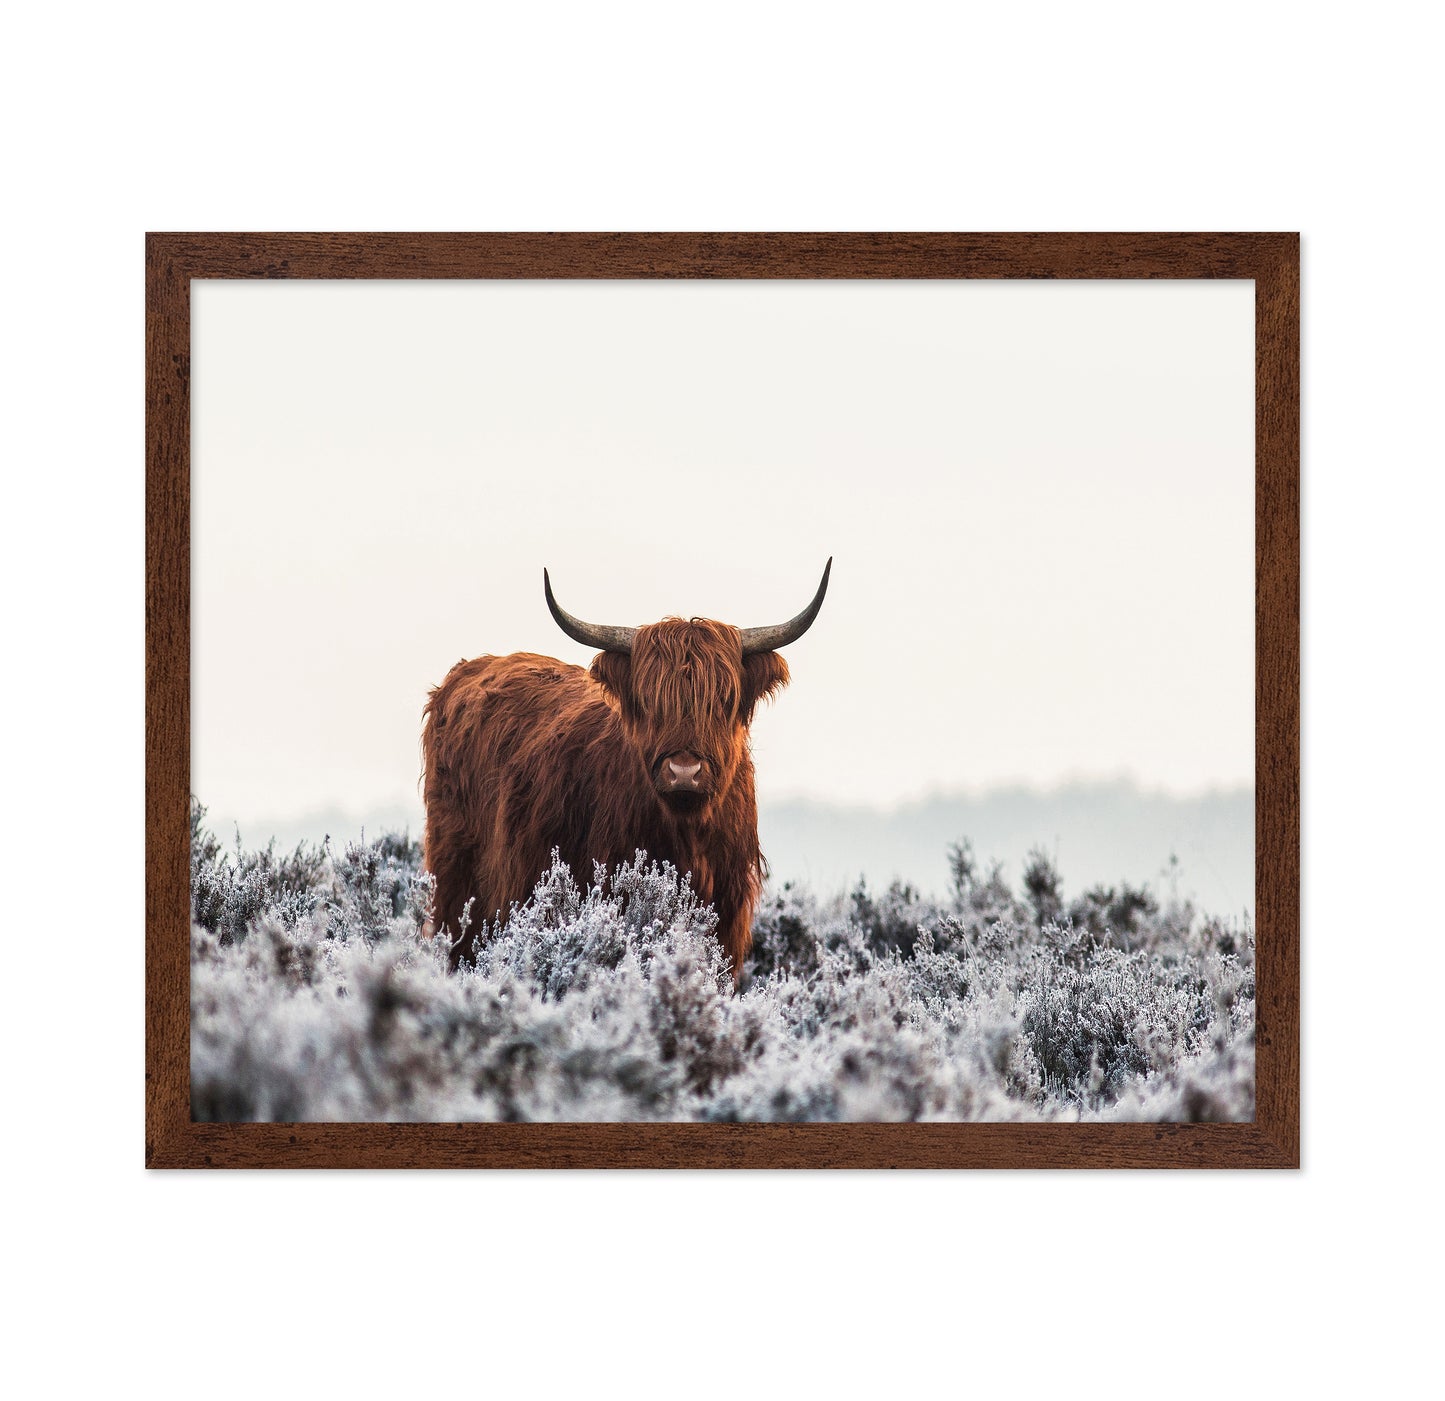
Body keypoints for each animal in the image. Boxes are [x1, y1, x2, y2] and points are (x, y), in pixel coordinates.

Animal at [420, 561, 831, 980]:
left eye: (724, 699)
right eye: (650, 700)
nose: (684, 771)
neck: (686, 836)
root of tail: (471, 668)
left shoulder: (728, 918)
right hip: (458, 882)